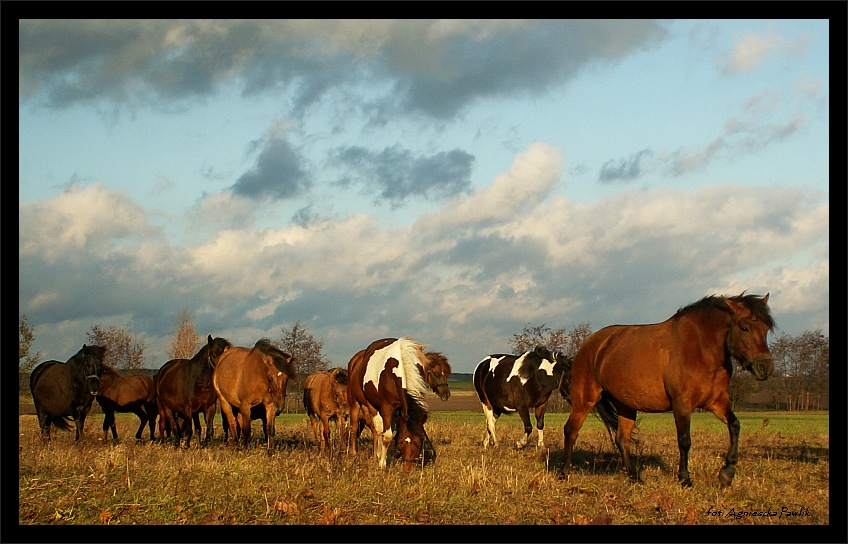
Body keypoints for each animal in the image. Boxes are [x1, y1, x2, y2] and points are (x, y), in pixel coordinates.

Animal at [346, 338, 438, 470]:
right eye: (401, 442)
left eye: (419, 443)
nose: (407, 469)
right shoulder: (386, 408)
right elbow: (387, 435)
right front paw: (382, 463)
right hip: (357, 402)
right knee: (358, 427)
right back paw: (356, 454)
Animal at [556, 294, 776, 488]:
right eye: (745, 327)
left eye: (766, 328)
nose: (765, 368)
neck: (701, 348)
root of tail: (590, 344)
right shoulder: (682, 404)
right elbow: (685, 440)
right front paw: (685, 479)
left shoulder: (717, 401)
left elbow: (735, 425)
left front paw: (727, 473)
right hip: (585, 399)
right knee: (571, 430)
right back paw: (564, 473)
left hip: (625, 405)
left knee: (622, 439)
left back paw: (635, 477)